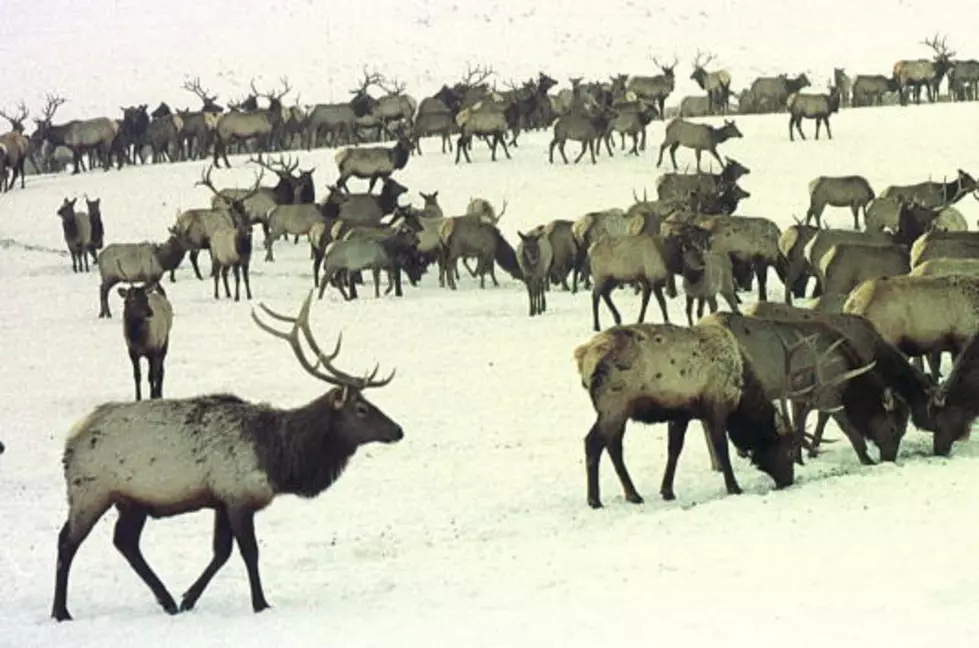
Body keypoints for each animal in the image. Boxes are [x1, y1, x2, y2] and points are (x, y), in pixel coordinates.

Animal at [48, 292, 402, 620]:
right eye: (361, 408)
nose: (398, 430)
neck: (278, 457)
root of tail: (71, 440)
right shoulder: (238, 497)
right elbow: (248, 552)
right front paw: (260, 603)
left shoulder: (221, 500)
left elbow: (221, 552)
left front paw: (189, 598)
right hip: (90, 492)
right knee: (67, 541)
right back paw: (61, 610)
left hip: (132, 500)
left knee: (124, 542)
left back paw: (167, 600)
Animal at [576, 322, 796, 508]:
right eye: (789, 451)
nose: (789, 481)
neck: (741, 393)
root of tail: (584, 357)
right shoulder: (715, 408)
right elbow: (722, 449)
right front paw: (734, 487)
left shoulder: (681, 414)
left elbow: (674, 450)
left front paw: (667, 491)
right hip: (614, 406)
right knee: (593, 442)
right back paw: (595, 500)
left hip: (617, 411)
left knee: (612, 445)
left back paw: (632, 494)